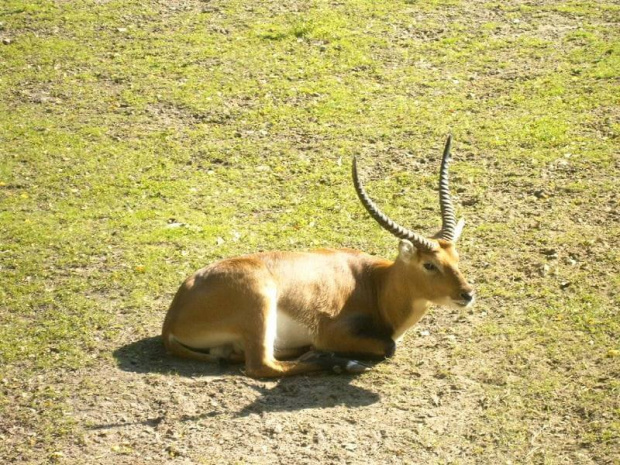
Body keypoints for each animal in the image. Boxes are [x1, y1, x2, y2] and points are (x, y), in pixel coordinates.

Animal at [161, 135, 474, 376]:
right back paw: (341, 363)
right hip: (259, 303)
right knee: (261, 367)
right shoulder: (331, 331)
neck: (374, 283)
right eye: (429, 264)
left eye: (456, 258)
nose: (467, 294)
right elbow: (389, 346)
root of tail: (172, 318)